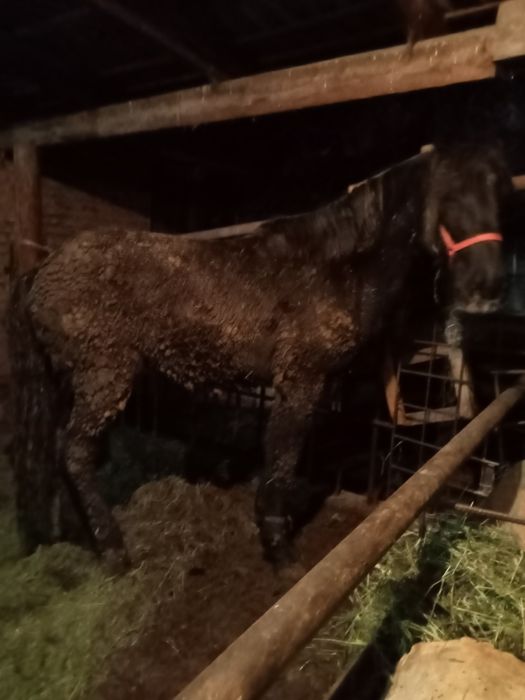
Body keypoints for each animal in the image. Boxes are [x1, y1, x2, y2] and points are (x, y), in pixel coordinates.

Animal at [7, 142, 511, 571]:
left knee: (64, 451)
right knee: (76, 453)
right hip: (104, 375)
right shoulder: (301, 380)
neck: (335, 268)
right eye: (449, 194)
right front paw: (279, 549)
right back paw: (113, 549)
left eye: (502, 192)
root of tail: (44, 269)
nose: (488, 289)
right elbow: (283, 458)